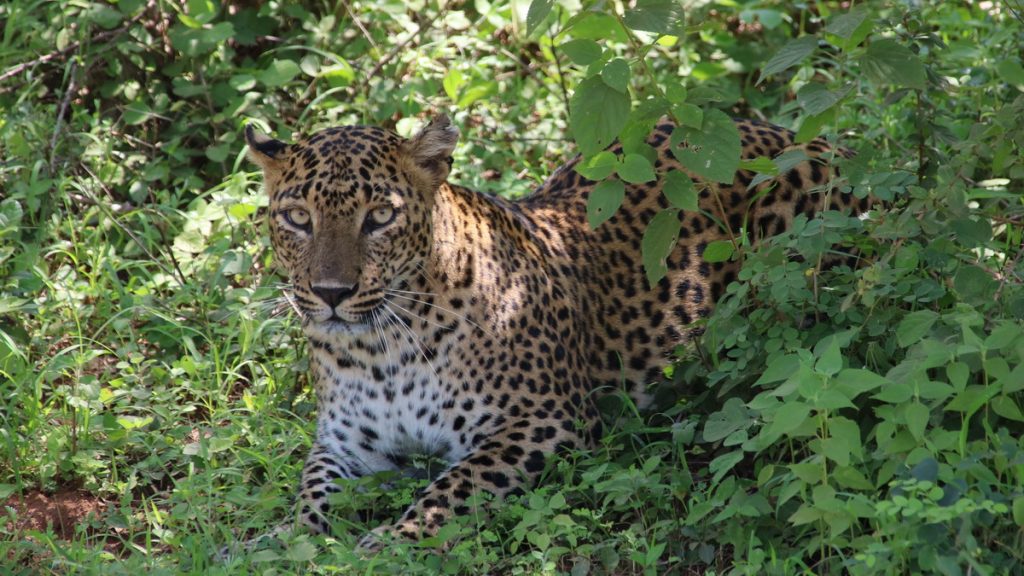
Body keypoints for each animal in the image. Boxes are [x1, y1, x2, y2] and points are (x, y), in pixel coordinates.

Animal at [243, 113, 868, 545]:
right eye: (297, 218)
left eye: (380, 216)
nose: (331, 294)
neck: (379, 348)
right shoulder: (347, 445)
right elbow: (311, 494)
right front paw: (277, 541)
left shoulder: (545, 422)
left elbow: (451, 489)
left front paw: (389, 542)